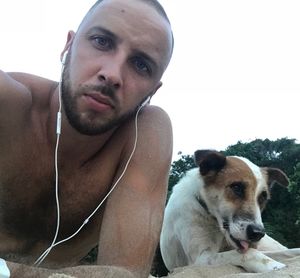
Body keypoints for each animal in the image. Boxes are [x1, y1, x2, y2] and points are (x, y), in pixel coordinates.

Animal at [161, 149, 290, 272]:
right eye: (237, 187)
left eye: (263, 197)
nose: (257, 233)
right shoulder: (200, 258)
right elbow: (249, 254)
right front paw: (274, 265)